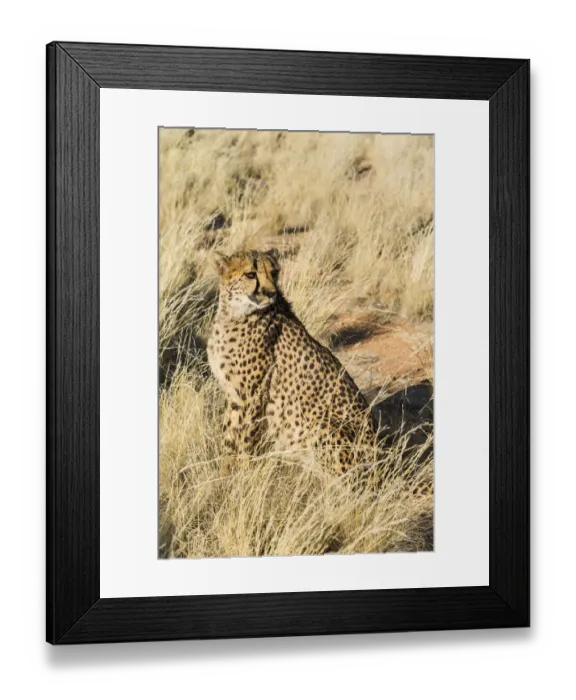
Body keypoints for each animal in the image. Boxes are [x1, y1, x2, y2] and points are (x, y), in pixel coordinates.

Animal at [207, 249, 378, 473]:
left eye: (274, 272)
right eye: (250, 274)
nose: (271, 292)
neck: (233, 314)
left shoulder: (251, 397)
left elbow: (243, 439)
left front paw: (242, 473)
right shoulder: (234, 394)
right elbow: (229, 436)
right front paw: (223, 472)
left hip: (323, 424)